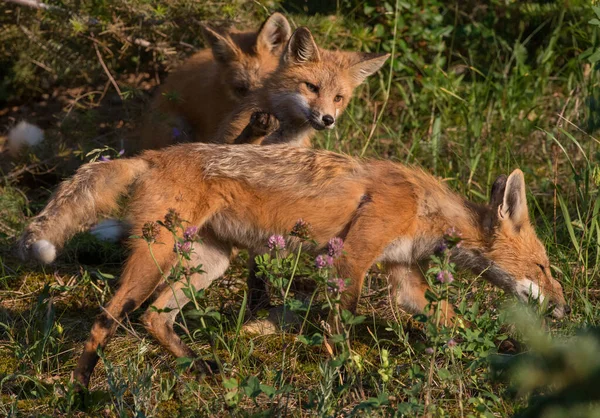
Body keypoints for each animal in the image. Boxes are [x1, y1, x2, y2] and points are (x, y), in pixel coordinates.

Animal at [18, 145, 568, 388]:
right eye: (545, 268)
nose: (565, 309)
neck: (424, 208)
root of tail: (151, 154)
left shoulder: (402, 279)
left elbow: (451, 324)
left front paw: (514, 356)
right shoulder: (351, 258)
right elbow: (339, 330)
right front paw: (345, 379)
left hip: (210, 263)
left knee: (155, 318)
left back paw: (201, 367)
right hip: (157, 257)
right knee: (108, 317)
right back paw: (80, 389)